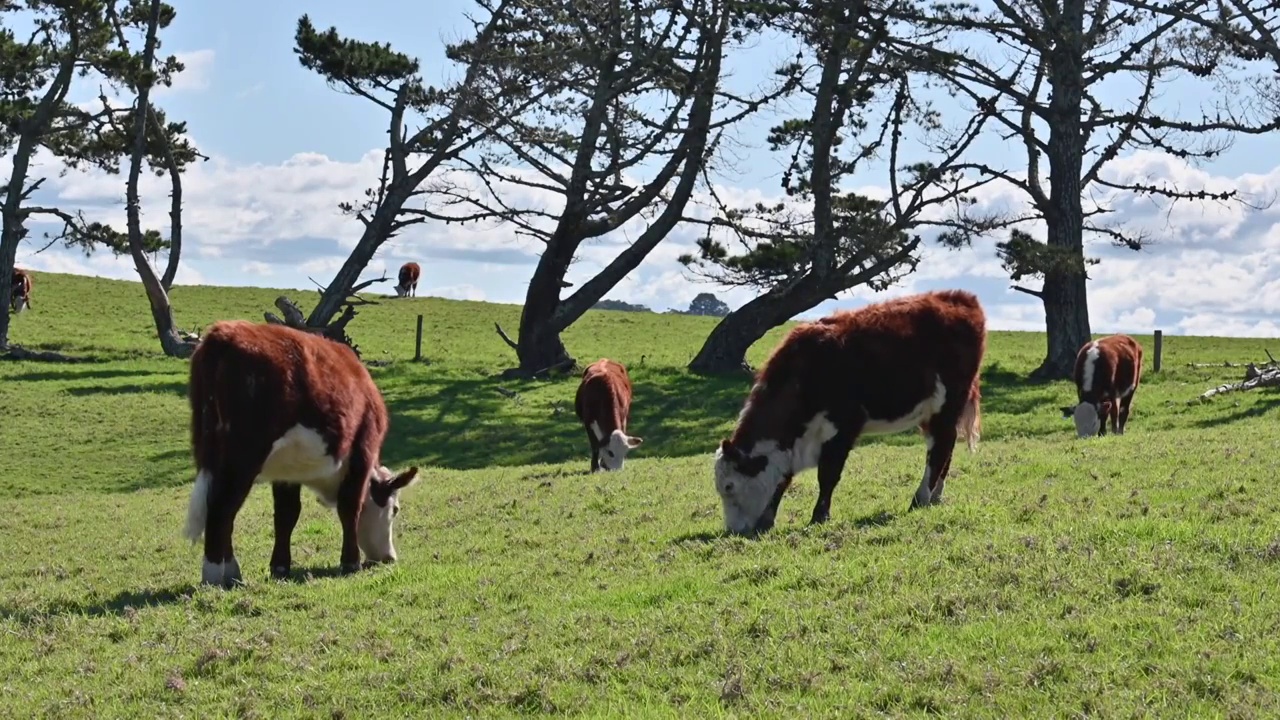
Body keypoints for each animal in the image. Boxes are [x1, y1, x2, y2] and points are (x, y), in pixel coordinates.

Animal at [184, 317, 419, 584]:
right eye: (395, 509)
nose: (389, 557)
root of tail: (224, 332)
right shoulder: (362, 452)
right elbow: (350, 507)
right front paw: (350, 562)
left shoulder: (287, 471)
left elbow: (286, 515)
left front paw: (280, 567)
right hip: (242, 459)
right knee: (221, 509)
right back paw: (216, 575)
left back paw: (231, 572)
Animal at [716, 289, 983, 532]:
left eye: (729, 486)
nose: (733, 531)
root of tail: (959, 297)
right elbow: (782, 479)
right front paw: (767, 521)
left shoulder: (842, 427)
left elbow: (828, 474)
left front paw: (819, 516)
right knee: (946, 448)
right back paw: (935, 496)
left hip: (946, 405)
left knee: (939, 449)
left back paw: (920, 499)